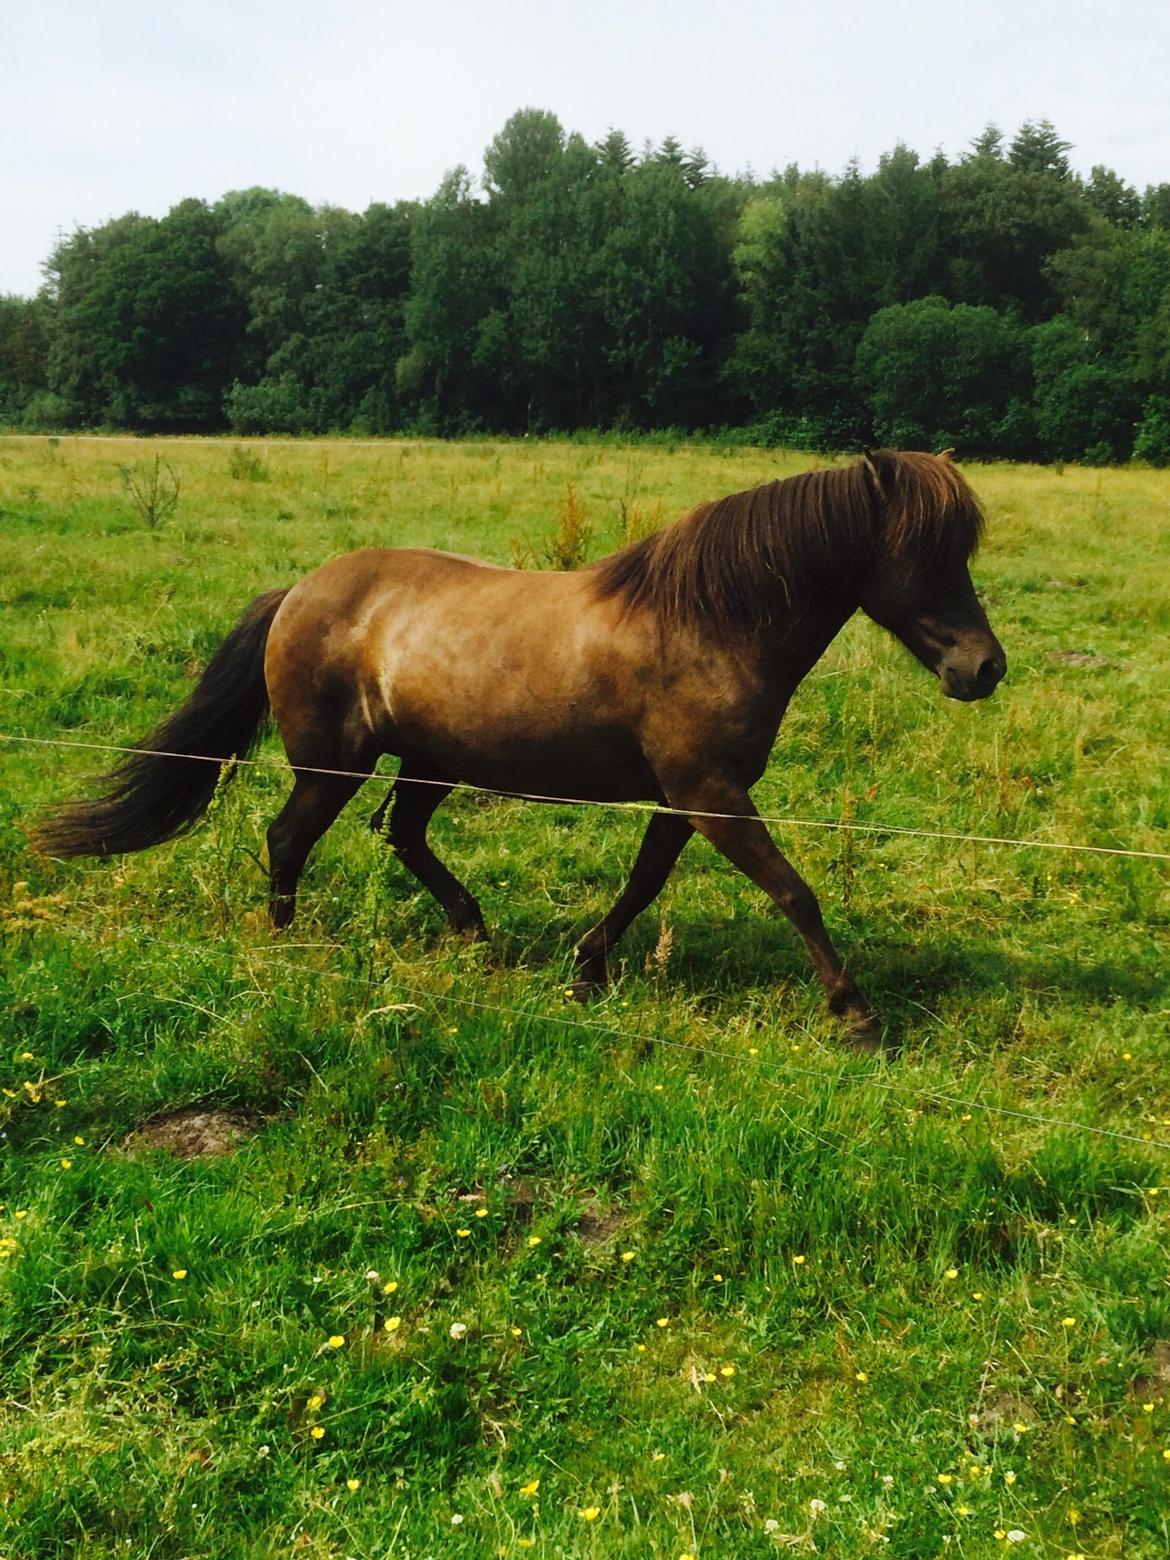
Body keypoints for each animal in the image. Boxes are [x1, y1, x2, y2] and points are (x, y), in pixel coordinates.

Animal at [36, 452, 1010, 1048]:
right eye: (923, 555)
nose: (985, 668)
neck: (708, 623)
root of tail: (299, 592)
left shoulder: (688, 795)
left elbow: (646, 881)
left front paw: (585, 970)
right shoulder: (712, 794)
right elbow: (794, 892)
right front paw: (855, 1014)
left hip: (431, 764)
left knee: (402, 836)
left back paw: (473, 932)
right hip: (335, 765)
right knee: (289, 838)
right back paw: (288, 944)